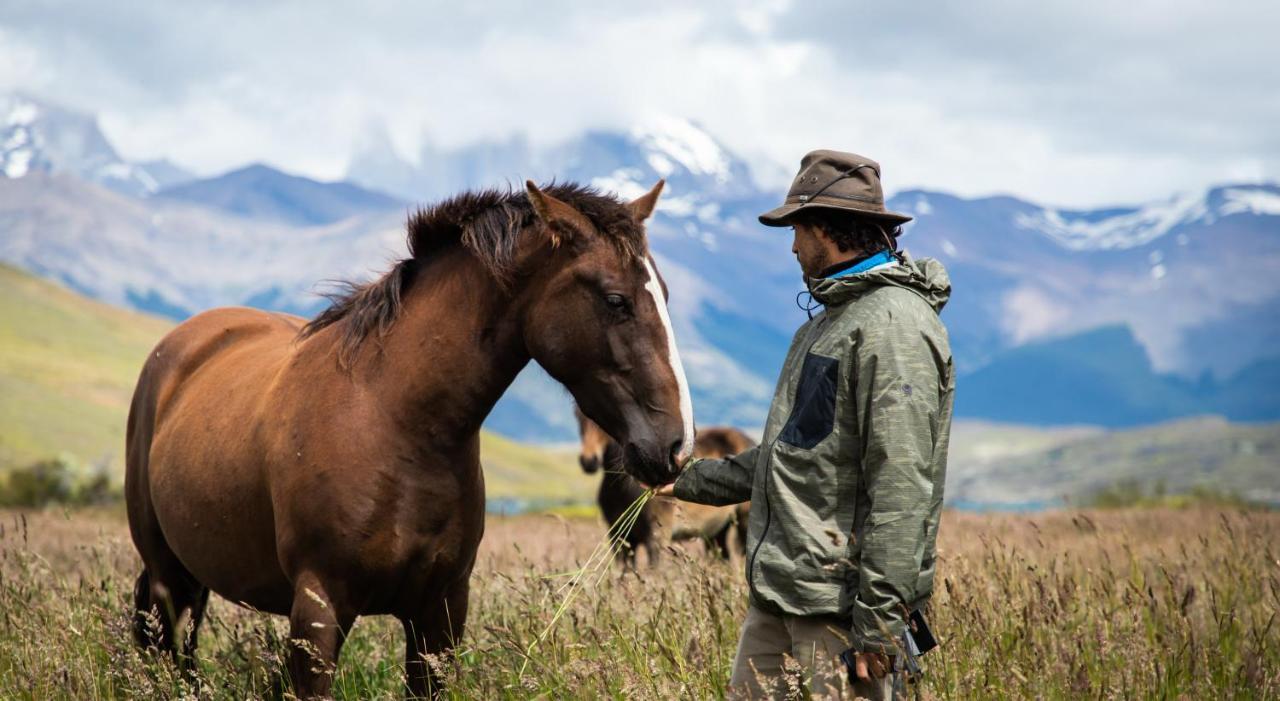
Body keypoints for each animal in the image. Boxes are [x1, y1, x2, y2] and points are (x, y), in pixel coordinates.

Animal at [124, 179, 696, 695]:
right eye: (616, 300)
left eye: (667, 295)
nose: (675, 445)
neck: (394, 424)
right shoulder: (318, 609)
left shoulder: (439, 613)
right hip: (167, 576)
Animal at [578, 411, 752, 562]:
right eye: (578, 416)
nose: (589, 461)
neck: (622, 489)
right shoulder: (620, 539)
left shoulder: (657, 537)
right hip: (716, 531)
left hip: (742, 523)